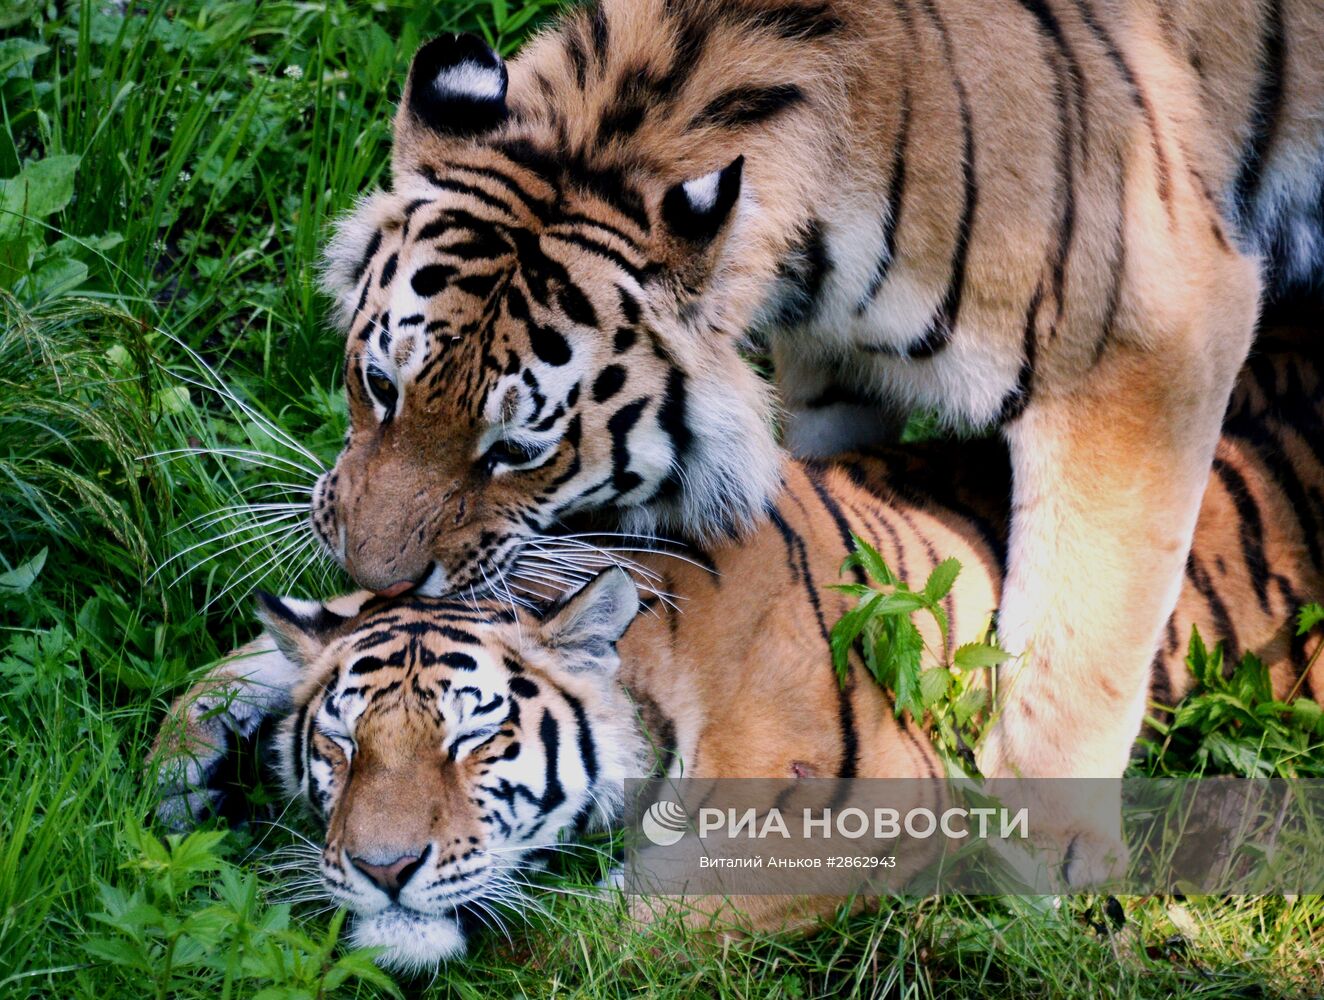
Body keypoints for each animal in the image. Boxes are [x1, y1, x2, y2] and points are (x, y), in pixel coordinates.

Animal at [152, 336, 1313, 969]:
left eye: (474, 742)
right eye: (342, 747)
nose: (383, 871)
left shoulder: (863, 809)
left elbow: (610, 927)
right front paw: (180, 779)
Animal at [303, 0, 1324, 874]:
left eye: (517, 450)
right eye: (381, 385)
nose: (372, 577)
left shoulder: (1156, 337)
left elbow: (1088, 626)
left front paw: (1047, 853)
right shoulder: (841, 354)